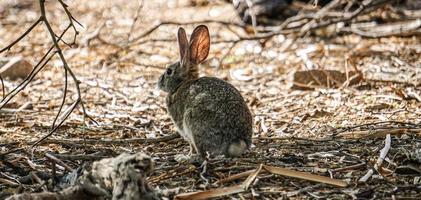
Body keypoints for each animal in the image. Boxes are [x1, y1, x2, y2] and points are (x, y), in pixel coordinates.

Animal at [157, 25, 249, 158]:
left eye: (169, 71)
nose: (158, 82)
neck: (181, 85)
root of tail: (235, 142)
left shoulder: (183, 127)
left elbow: (191, 146)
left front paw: (188, 154)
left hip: (192, 122)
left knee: (201, 153)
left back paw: (185, 158)